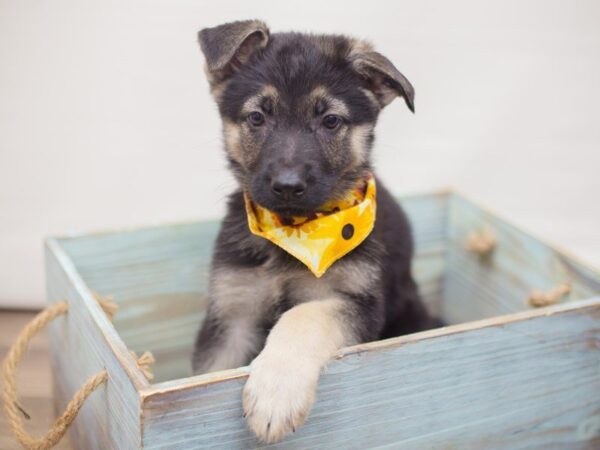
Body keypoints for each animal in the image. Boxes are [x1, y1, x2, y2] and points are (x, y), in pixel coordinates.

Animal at [195, 20, 438, 442]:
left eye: (330, 121)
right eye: (257, 118)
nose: (288, 186)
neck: (295, 234)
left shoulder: (358, 302)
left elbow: (305, 314)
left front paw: (276, 392)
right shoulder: (231, 315)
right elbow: (211, 370)